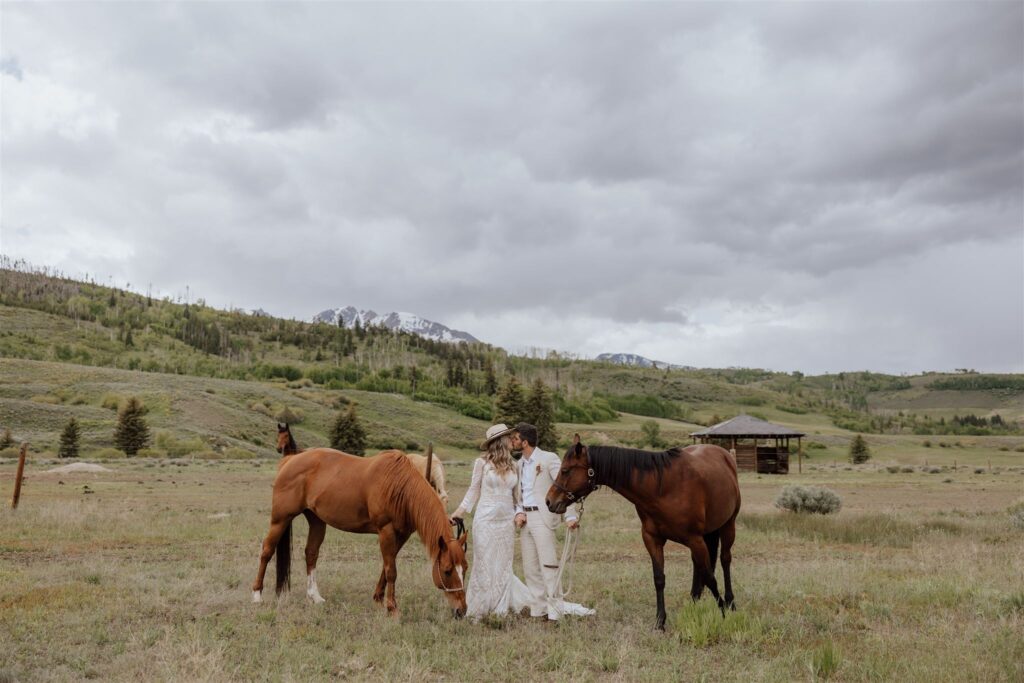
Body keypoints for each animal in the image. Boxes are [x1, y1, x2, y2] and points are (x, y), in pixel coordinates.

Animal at [251, 446, 468, 618]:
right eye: (447, 570)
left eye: (465, 569)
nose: (462, 610)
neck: (399, 486)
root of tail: (290, 460)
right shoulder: (386, 530)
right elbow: (391, 570)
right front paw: (392, 607)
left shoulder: (402, 534)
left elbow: (386, 566)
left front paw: (379, 598)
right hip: (280, 519)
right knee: (267, 551)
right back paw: (257, 595)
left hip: (317, 521)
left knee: (311, 553)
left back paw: (315, 596)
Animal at [548, 438, 741, 630]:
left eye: (565, 470)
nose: (549, 501)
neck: (662, 488)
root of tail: (724, 455)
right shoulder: (652, 539)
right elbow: (659, 579)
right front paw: (660, 621)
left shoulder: (694, 539)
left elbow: (710, 577)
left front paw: (723, 612)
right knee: (698, 565)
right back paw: (694, 601)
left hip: (727, 526)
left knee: (725, 560)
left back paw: (730, 602)